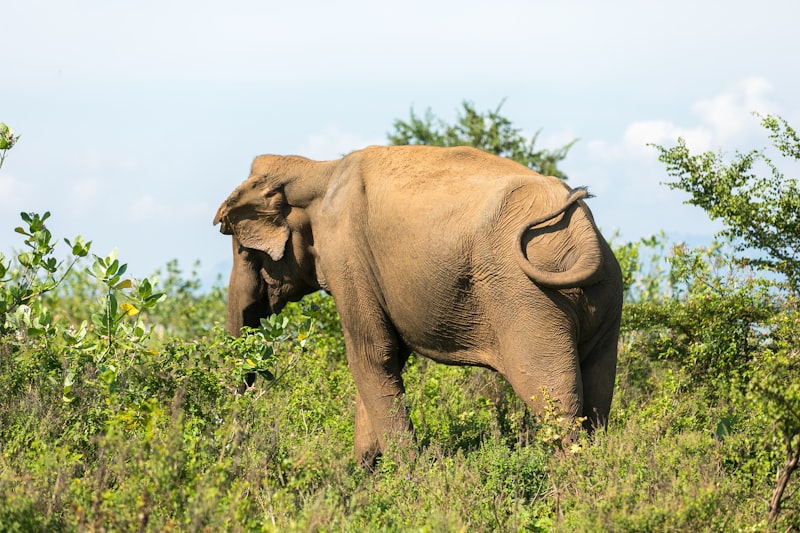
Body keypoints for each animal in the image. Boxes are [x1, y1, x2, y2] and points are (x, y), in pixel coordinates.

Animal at [214, 144, 623, 466]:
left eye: (243, 250)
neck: (317, 169)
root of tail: (583, 231)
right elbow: (388, 359)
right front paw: (365, 475)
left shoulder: (346, 252)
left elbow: (370, 354)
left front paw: (407, 477)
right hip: (604, 293)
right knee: (598, 395)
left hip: (527, 296)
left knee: (554, 397)